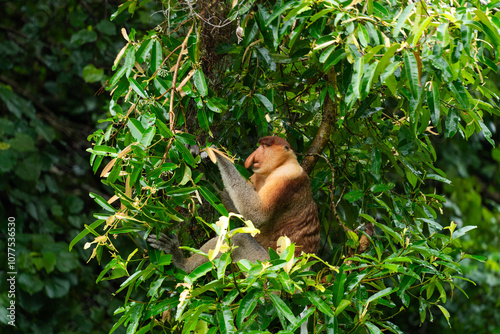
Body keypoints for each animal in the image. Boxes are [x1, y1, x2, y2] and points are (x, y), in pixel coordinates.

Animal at [148, 137, 320, 272]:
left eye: (264, 147)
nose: (252, 157)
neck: (282, 163)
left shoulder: (286, 176)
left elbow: (257, 214)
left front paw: (216, 155)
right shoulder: (256, 176)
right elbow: (239, 211)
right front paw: (199, 159)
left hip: (266, 267)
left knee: (240, 239)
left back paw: (183, 263)